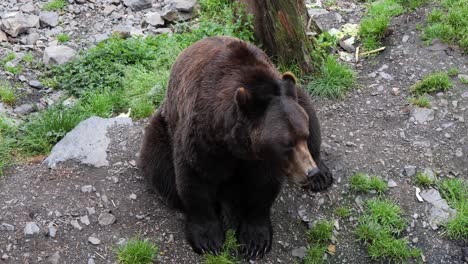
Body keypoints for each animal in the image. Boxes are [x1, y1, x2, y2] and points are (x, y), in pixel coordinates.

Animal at [139, 36, 332, 260]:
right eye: (286, 144)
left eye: (303, 136)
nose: (309, 172)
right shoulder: (202, 139)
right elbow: (194, 179)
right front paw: (208, 240)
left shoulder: (262, 158)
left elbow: (263, 187)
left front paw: (254, 240)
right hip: (163, 128)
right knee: (160, 168)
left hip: (297, 93)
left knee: (310, 109)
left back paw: (321, 177)